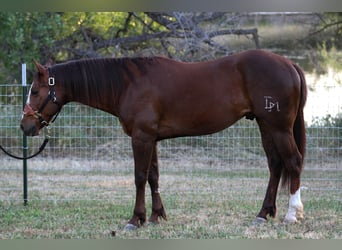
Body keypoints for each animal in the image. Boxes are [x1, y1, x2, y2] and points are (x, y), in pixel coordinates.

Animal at [19, 49, 308, 229]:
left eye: (35, 91)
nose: (25, 126)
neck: (129, 84)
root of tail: (289, 64)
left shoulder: (142, 138)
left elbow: (139, 177)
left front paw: (135, 219)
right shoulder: (152, 139)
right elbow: (153, 176)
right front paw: (157, 216)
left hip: (279, 127)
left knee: (293, 161)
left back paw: (292, 214)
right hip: (265, 125)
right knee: (275, 165)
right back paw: (263, 214)